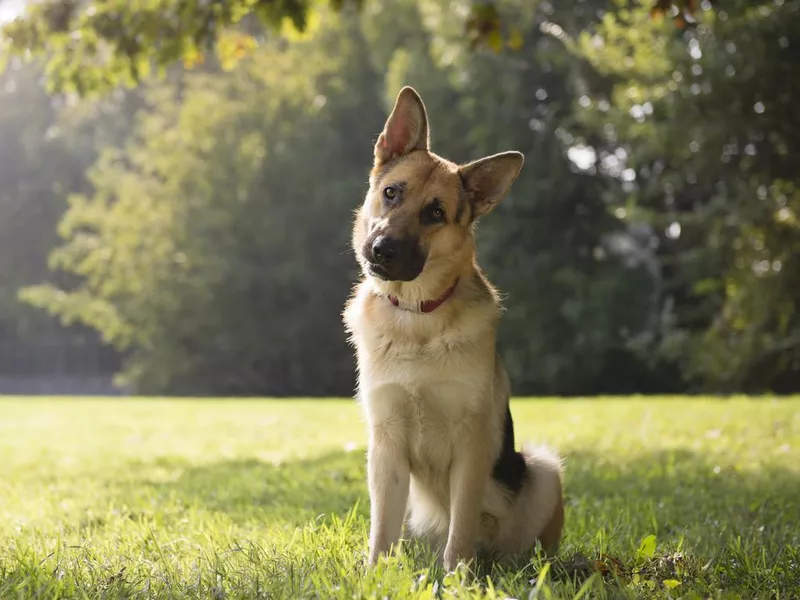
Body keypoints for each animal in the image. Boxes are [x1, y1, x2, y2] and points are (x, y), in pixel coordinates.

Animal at [340, 85, 564, 572]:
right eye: (391, 193)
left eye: (435, 213)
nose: (381, 250)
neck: (416, 316)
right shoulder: (385, 447)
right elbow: (381, 530)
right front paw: (374, 575)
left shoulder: (471, 447)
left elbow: (460, 527)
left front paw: (459, 577)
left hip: (543, 469)